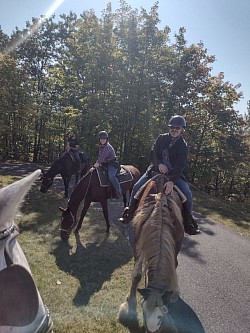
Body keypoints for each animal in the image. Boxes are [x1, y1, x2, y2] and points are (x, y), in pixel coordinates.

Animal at [117, 172, 186, 330]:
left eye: (161, 317)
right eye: (143, 311)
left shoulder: (177, 243)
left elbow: (174, 265)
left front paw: (173, 294)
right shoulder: (137, 242)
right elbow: (137, 274)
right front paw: (129, 309)